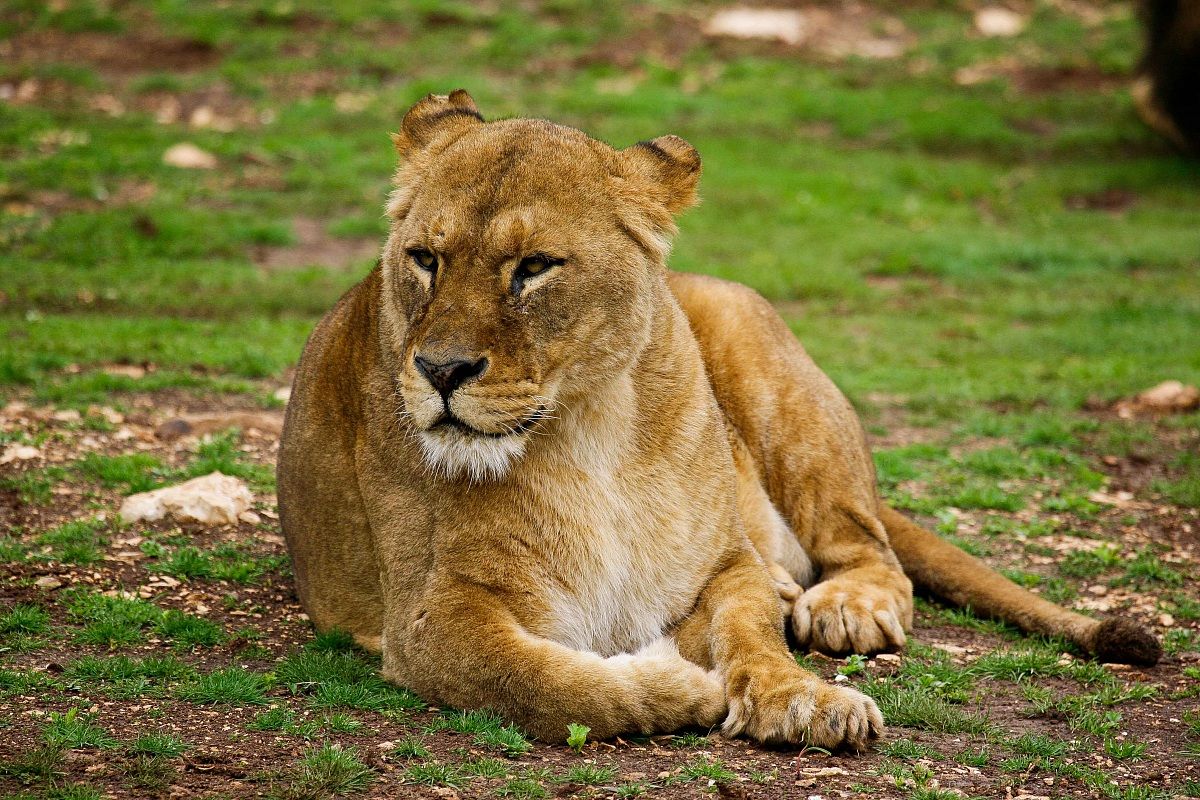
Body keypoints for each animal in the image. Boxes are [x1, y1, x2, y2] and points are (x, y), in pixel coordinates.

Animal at [277, 90, 1160, 750]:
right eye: (425, 259)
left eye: (533, 268)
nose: (440, 371)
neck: (585, 433)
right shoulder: (429, 617)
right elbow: (545, 682)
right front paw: (675, 684)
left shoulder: (718, 567)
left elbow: (753, 634)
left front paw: (807, 700)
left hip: (767, 364)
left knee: (872, 547)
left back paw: (841, 604)